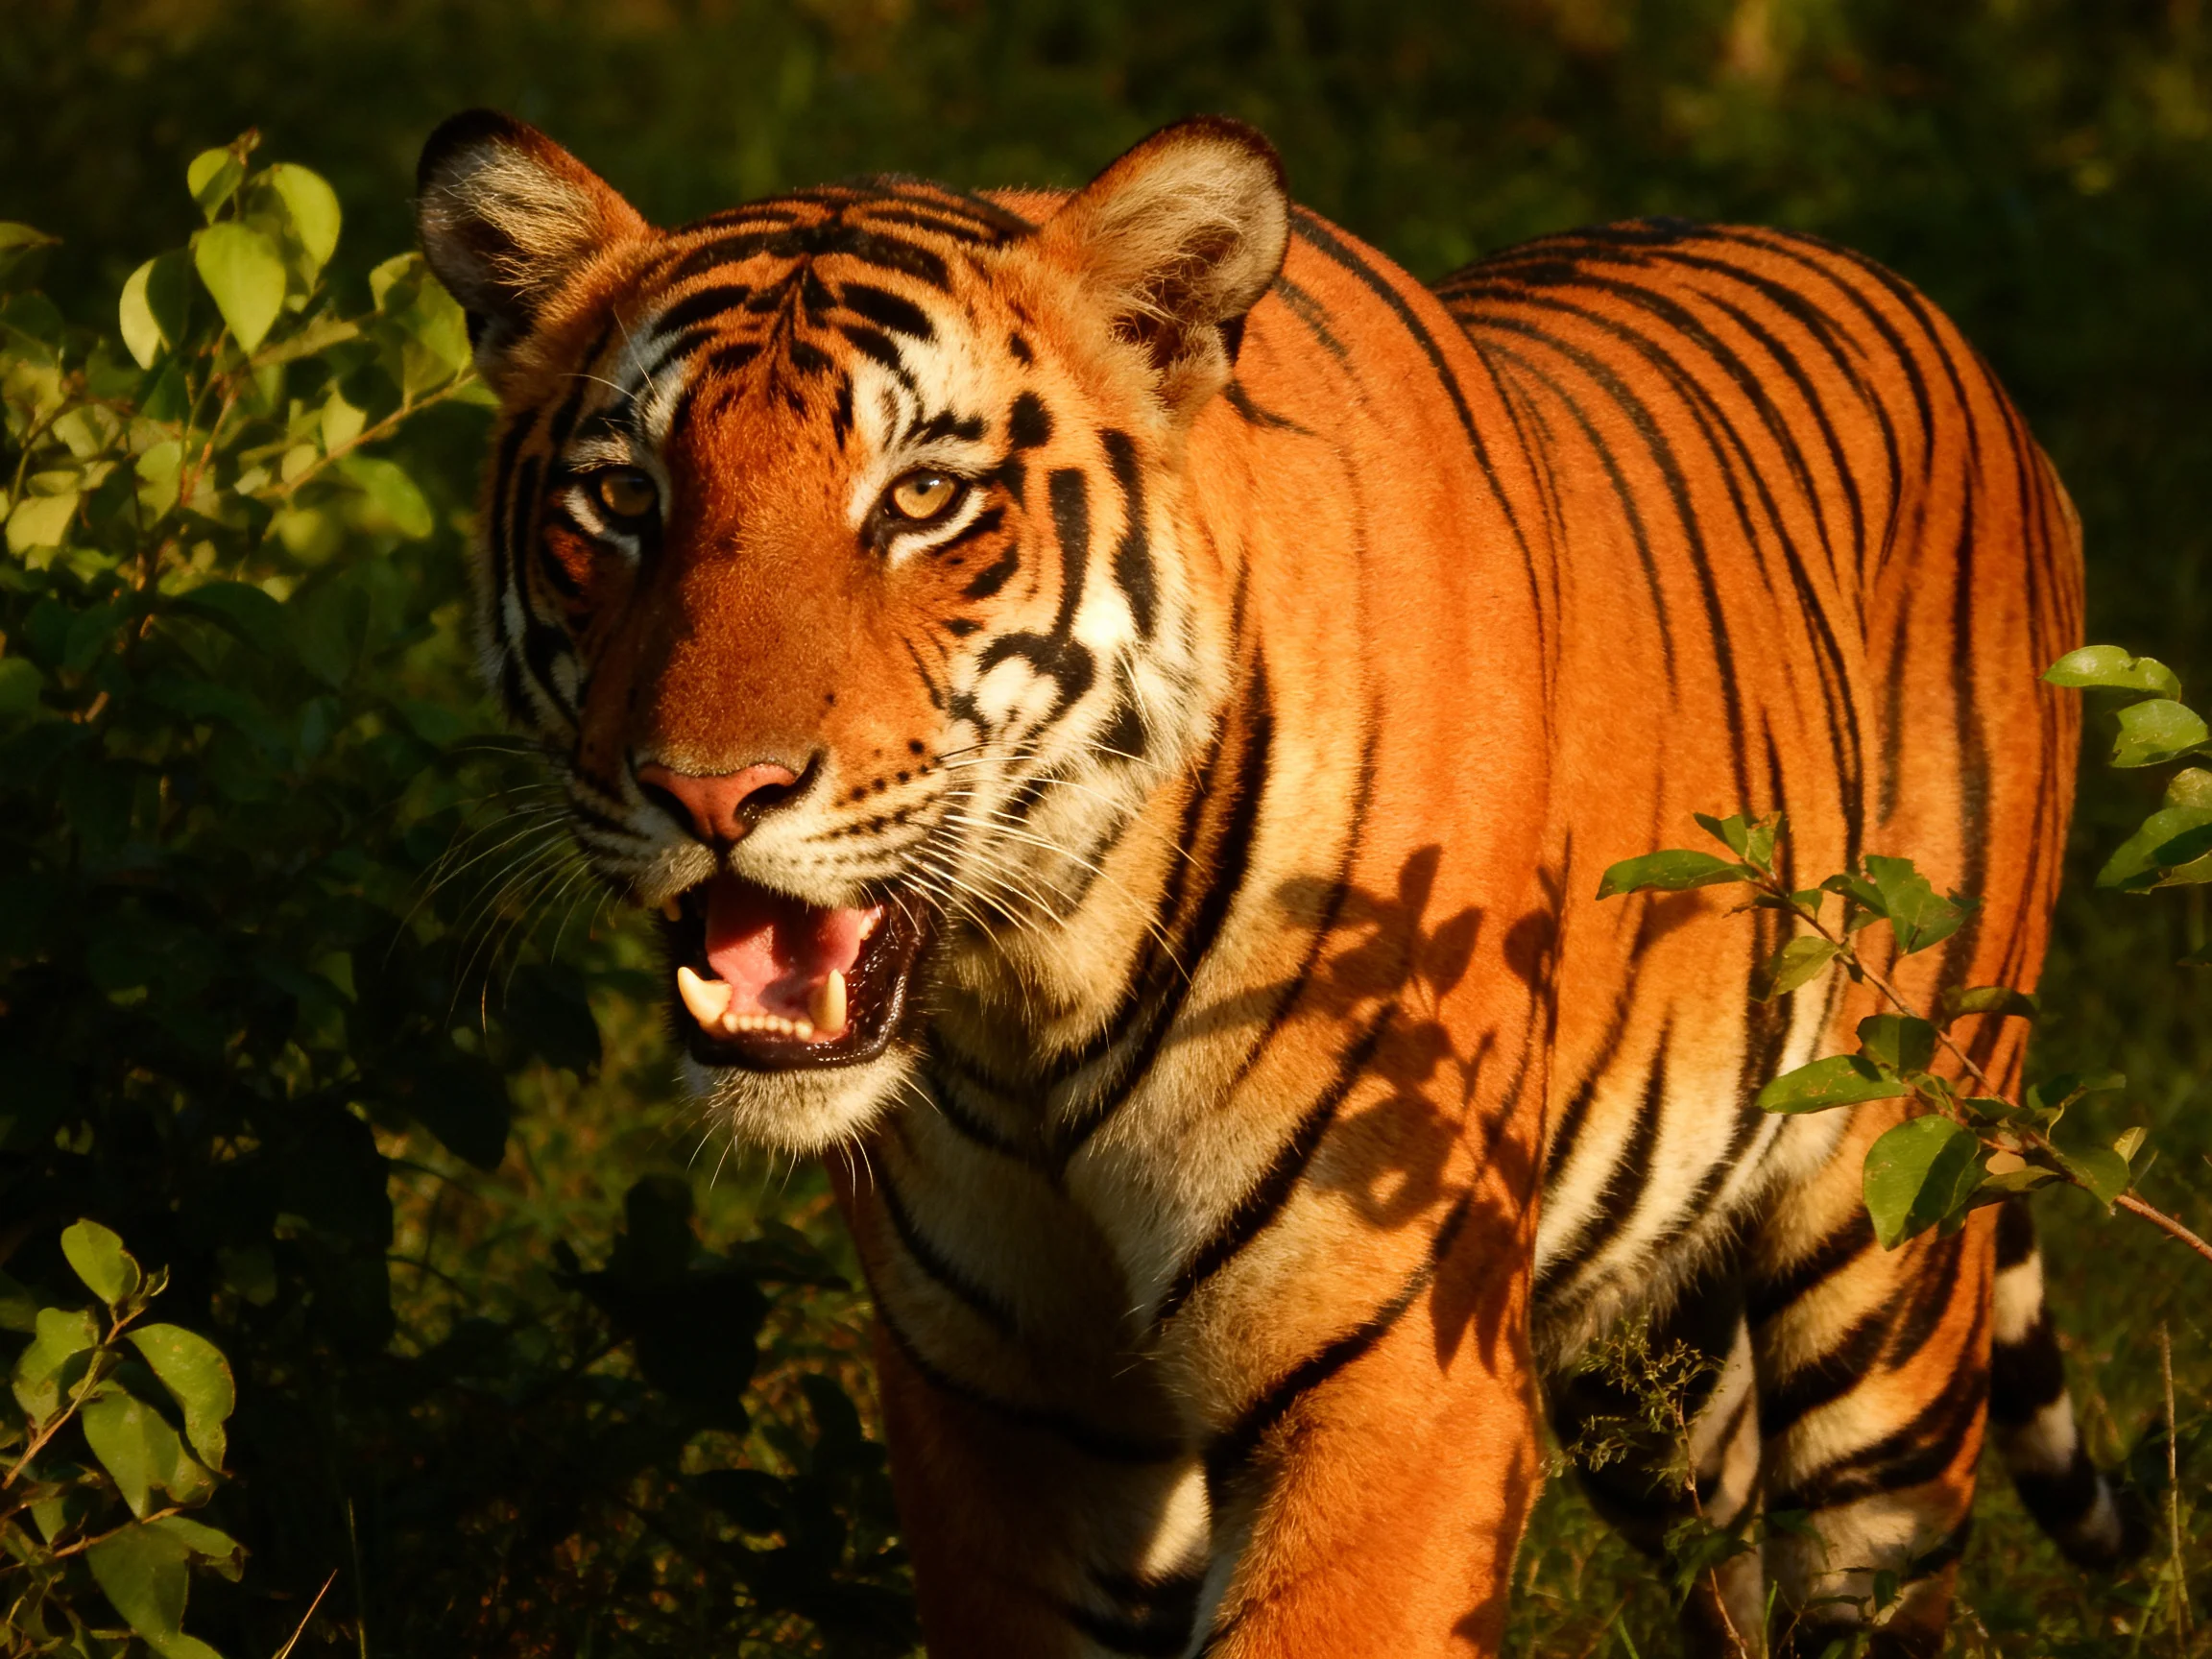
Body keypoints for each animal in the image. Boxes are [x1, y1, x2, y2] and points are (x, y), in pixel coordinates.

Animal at [415, 109, 2141, 1657]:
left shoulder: (1391, 1381)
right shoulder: (1004, 1418)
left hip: (1887, 1259)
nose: (712, 791)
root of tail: (1907, 297)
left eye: (920, 499)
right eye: (620, 501)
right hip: (1647, 1366)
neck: (1029, 993)